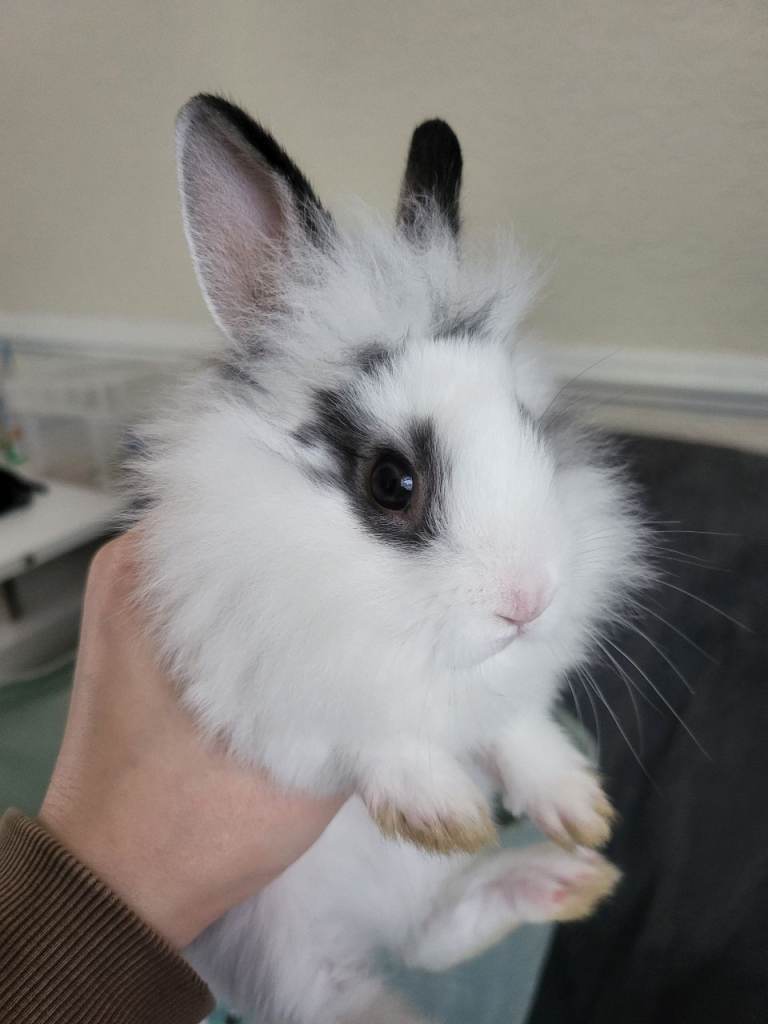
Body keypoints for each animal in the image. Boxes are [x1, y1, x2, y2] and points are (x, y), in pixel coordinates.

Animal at [129, 94, 648, 1023]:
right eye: (391, 481)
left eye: (529, 426)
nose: (529, 601)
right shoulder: (269, 691)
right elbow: (370, 733)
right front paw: (441, 809)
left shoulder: (502, 694)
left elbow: (516, 728)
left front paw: (576, 803)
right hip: (283, 956)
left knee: (432, 935)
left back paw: (560, 879)